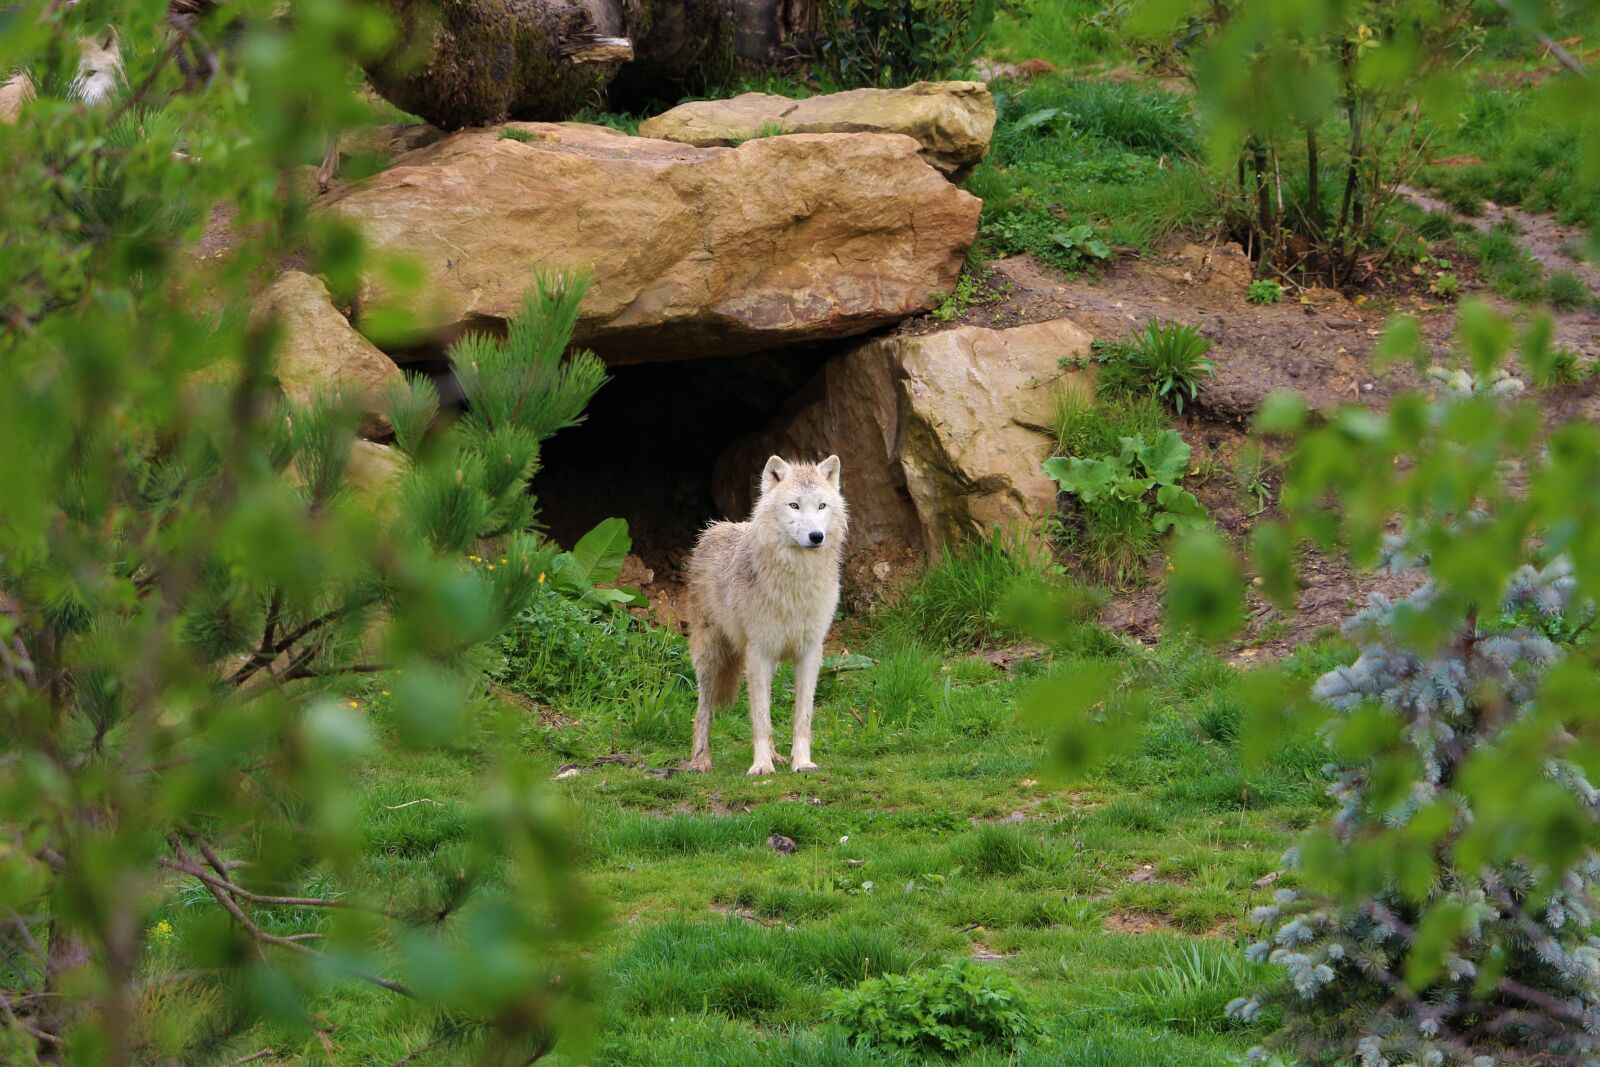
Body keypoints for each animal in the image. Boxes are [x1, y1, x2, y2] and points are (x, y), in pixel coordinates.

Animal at [686, 455, 847, 776]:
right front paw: (761, 766)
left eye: (822, 506)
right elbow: (760, 719)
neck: (797, 581)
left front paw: (802, 762)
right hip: (711, 656)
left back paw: (776, 756)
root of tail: (714, 528)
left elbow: (802, 718)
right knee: (703, 710)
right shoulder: (759, 652)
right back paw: (700, 761)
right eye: (794, 505)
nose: (816, 536)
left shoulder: (809, 653)